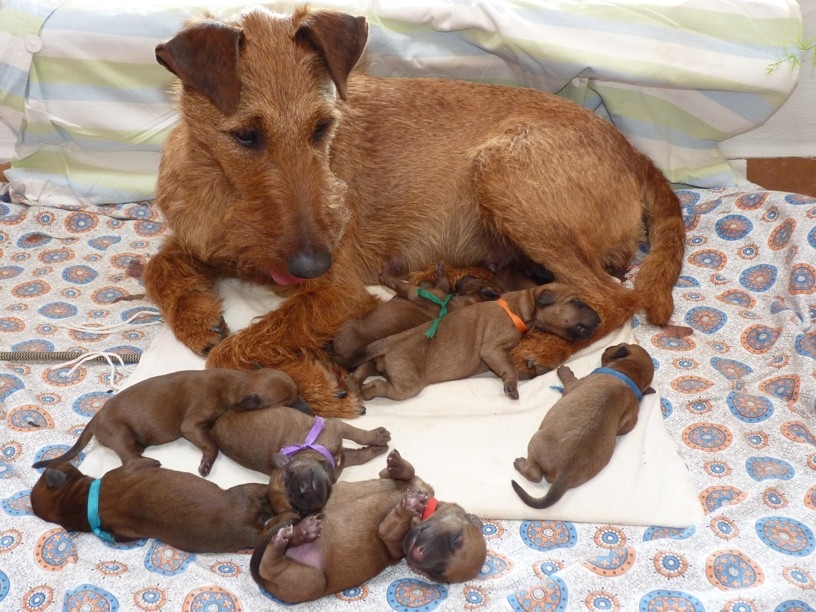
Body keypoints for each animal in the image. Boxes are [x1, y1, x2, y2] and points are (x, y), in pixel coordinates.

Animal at [32, 368, 306, 477]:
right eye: (287, 403)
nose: (307, 407)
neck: (236, 384)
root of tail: (95, 418)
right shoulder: (192, 425)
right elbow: (213, 446)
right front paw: (206, 464)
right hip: (120, 434)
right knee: (129, 461)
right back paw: (150, 463)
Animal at [249, 449, 486, 603]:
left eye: (436, 576)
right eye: (457, 539)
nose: (417, 555)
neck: (425, 511)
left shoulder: (392, 541)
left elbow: (393, 524)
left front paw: (407, 506)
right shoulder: (393, 478)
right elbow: (404, 471)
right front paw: (398, 464)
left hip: (309, 581)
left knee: (270, 565)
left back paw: (294, 537)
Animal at [347, 283, 600, 401]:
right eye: (577, 303)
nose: (598, 319)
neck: (517, 307)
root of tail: (387, 343)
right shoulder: (493, 348)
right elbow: (509, 368)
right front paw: (512, 387)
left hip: (373, 361)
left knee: (360, 371)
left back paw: (354, 385)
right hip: (407, 383)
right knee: (381, 386)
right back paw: (367, 391)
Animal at [512, 343, 655, 509]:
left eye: (621, 345)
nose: (608, 347)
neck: (629, 376)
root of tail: (564, 473)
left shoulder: (574, 385)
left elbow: (569, 379)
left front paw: (564, 370)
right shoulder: (631, 420)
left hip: (535, 442)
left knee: (535, 474)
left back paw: (520, 464)